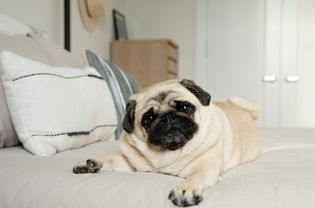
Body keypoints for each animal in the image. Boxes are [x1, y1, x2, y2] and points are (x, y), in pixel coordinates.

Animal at [73, 79, 262, 206]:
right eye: (148, 119)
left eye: (185, 107)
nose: (168, 117)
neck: (170, 151)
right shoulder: (133, 165)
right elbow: (112, 158)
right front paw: (91, 163)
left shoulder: (207, 167)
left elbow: (196, 176)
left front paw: (186, 190)